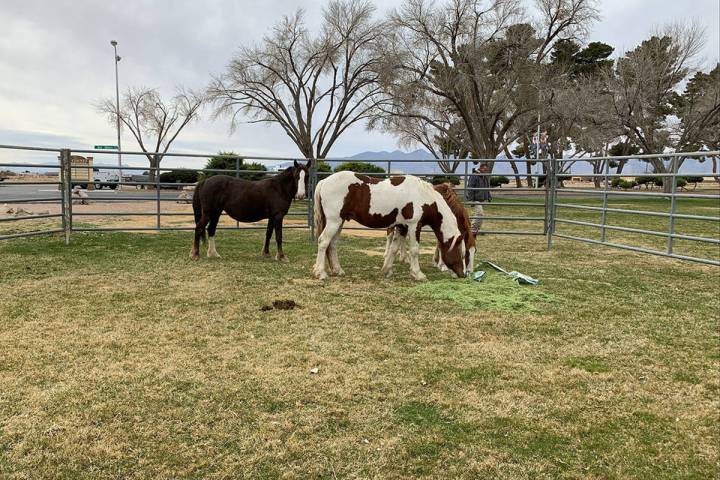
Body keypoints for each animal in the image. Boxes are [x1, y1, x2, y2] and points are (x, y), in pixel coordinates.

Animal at [312, 171, 466, 281]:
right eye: (461, 253)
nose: (463, 274)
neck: (424, 197)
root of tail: (324, 181)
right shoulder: (414, 226)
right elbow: (414, 250)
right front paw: (418, 274)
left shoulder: (402, 227)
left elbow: (394, 248)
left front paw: (386, 270)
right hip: (334, 221)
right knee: (323, 242)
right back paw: (321, 273)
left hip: (340, 222)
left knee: (332, 244)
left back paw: (338, 270)